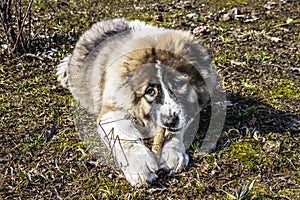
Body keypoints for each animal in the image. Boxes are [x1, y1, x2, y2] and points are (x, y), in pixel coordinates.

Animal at [56, 18, 216, 187]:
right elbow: (125, 136)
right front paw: (140, 166)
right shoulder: (112, 109)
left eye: (178, 84)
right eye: (150, 91)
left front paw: (173, 153)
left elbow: (177, 129)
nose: (170, 121)